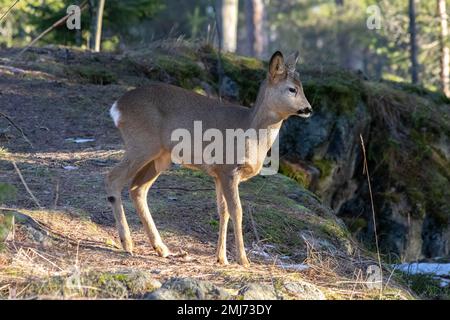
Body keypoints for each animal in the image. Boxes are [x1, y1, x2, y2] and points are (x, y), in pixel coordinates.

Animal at [105, 50, 312, 264]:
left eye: (302, 87)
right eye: (292, 89)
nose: (308, 109)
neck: (249, 130)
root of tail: (117, 107)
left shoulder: (218, 174)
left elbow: (223, 211)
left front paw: (221, 258)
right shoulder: (228, 169)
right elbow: (237, 211)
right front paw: (243, 260)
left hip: (160, 157)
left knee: (137, 189)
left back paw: (161, 248)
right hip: (141, 145)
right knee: (113, 177)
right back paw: (127, 243)